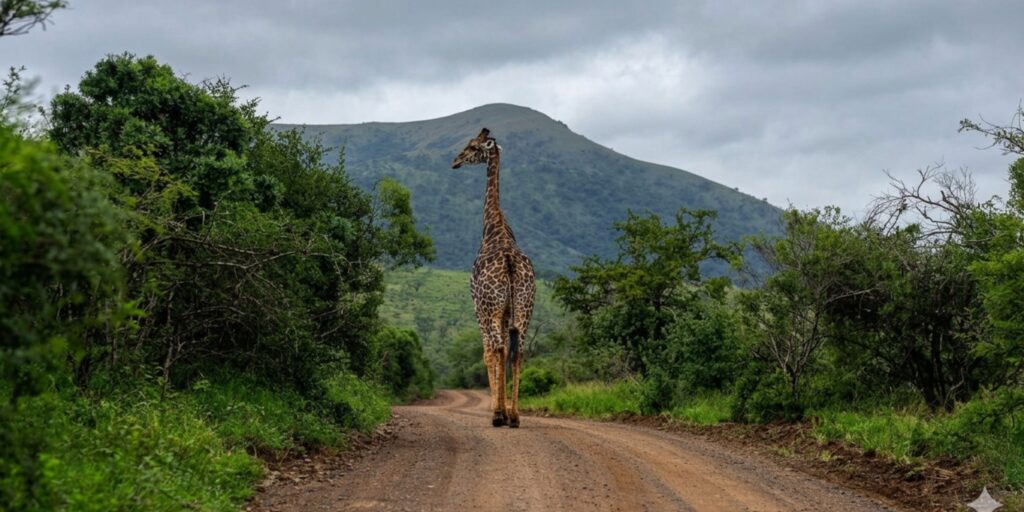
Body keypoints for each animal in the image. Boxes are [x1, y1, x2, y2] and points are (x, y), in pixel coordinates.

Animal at [452, 128, 536, 428]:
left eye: (472, 146)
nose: (455, 160)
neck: (493, 226)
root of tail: (510, 263)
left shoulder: (478, 308)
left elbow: (487, 353)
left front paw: (496, 409)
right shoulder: (509, 311)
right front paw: (506, 409)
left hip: (492, 308)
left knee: (498, 348)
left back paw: (500, 416)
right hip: (524, 308)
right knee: (518, 351)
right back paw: (515, 416)